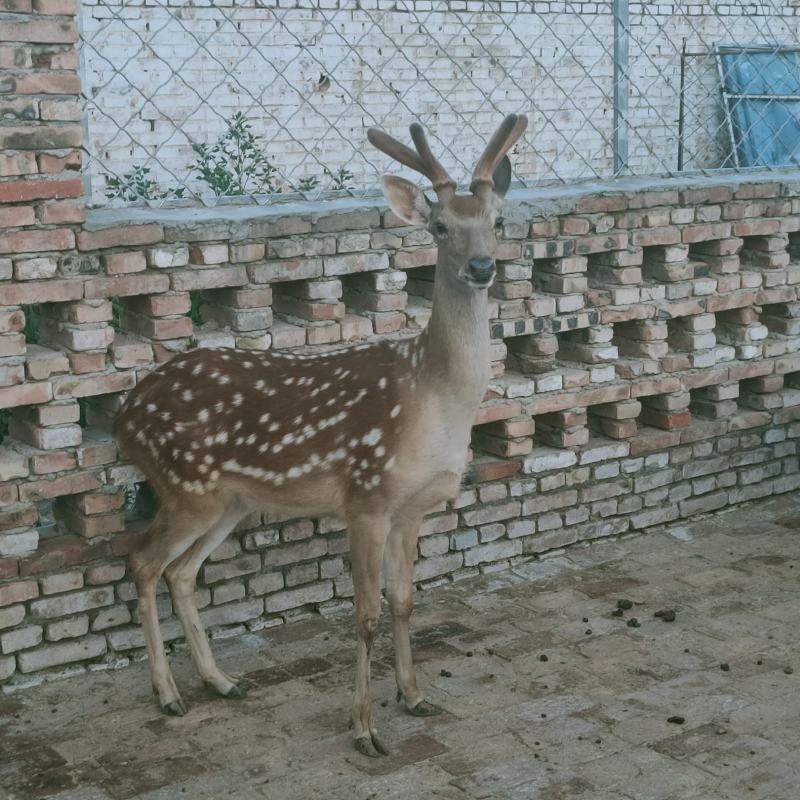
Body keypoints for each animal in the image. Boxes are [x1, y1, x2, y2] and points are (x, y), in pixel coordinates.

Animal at [115, 113, 528, 757]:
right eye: (439, 226)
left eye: (498, 221)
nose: (482, 267)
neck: (433, 396)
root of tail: (123, 413)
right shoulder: (366, 498)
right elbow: (365, 615)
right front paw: (364, 729)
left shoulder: (414, 508)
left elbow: (405, 602)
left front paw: (414, 697)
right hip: (186, 486)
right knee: (143, 563)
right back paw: (168, 694)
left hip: (230, 501)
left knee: (181, 572)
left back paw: (220, 681)